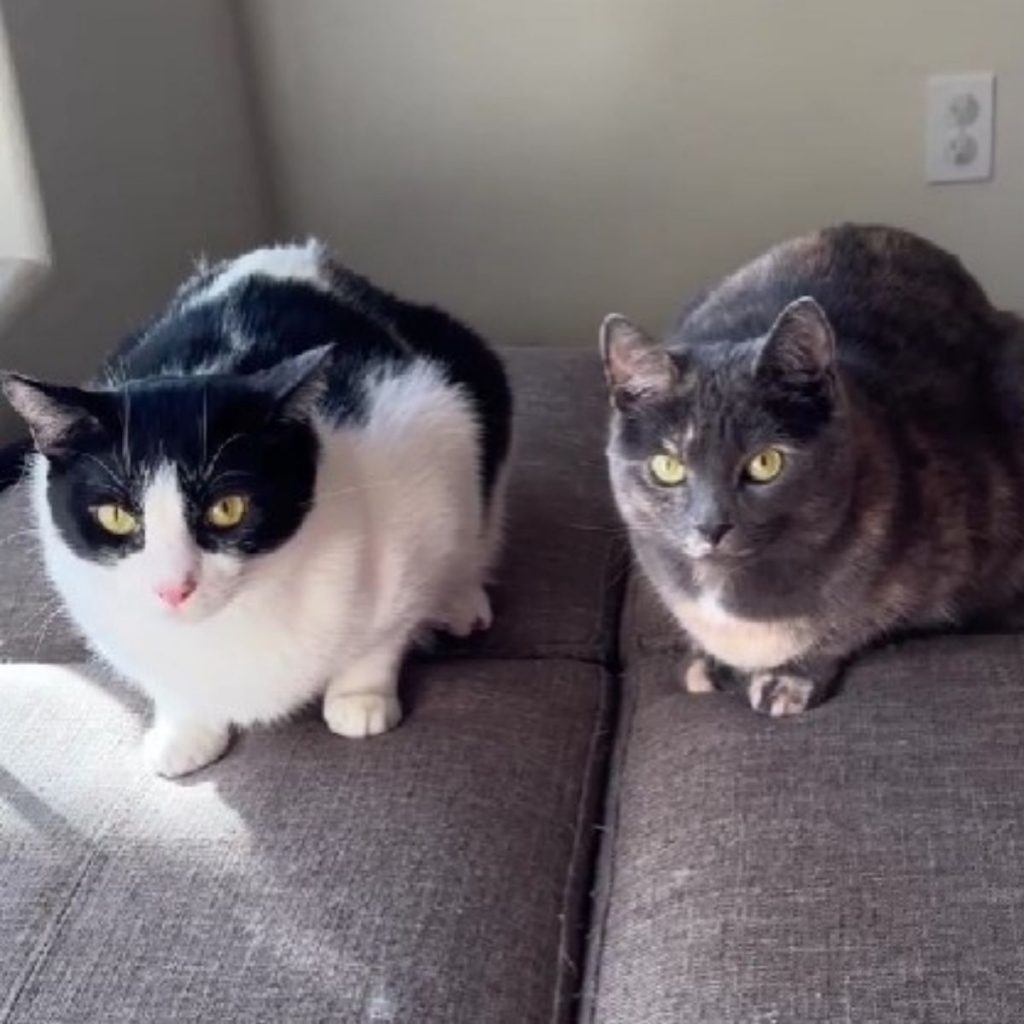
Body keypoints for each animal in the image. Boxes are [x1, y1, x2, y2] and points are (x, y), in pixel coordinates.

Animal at [0, 243, 512, 778]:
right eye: (116, 515)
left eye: (228, 507)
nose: (173, 588)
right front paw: (185, 732)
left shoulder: (423, 455)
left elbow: (387, 631)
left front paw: (361, 699)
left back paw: (459, 599)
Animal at [598, 224, 1024, 716]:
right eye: (668, 466)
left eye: (765, 462)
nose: (711, 526)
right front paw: (706, 663)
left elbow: (847, 626)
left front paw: (787, 680)